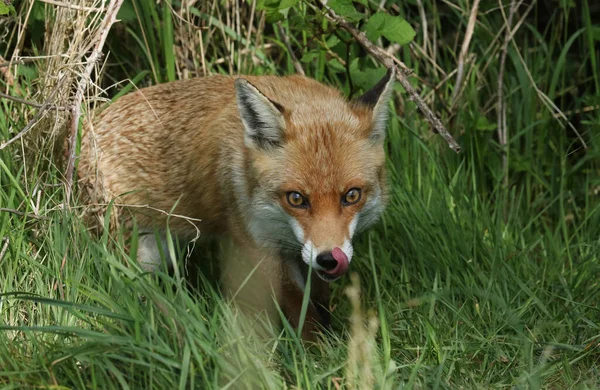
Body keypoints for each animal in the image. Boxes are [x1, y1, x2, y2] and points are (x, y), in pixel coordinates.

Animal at [78, 68, 398, 340]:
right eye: (296, 198)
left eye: (352, 195)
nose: (329, 259)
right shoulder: (259, 245)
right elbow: (300, 310)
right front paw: (316, 354)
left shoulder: (303, 255)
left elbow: (318, 297)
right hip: (138, 256)